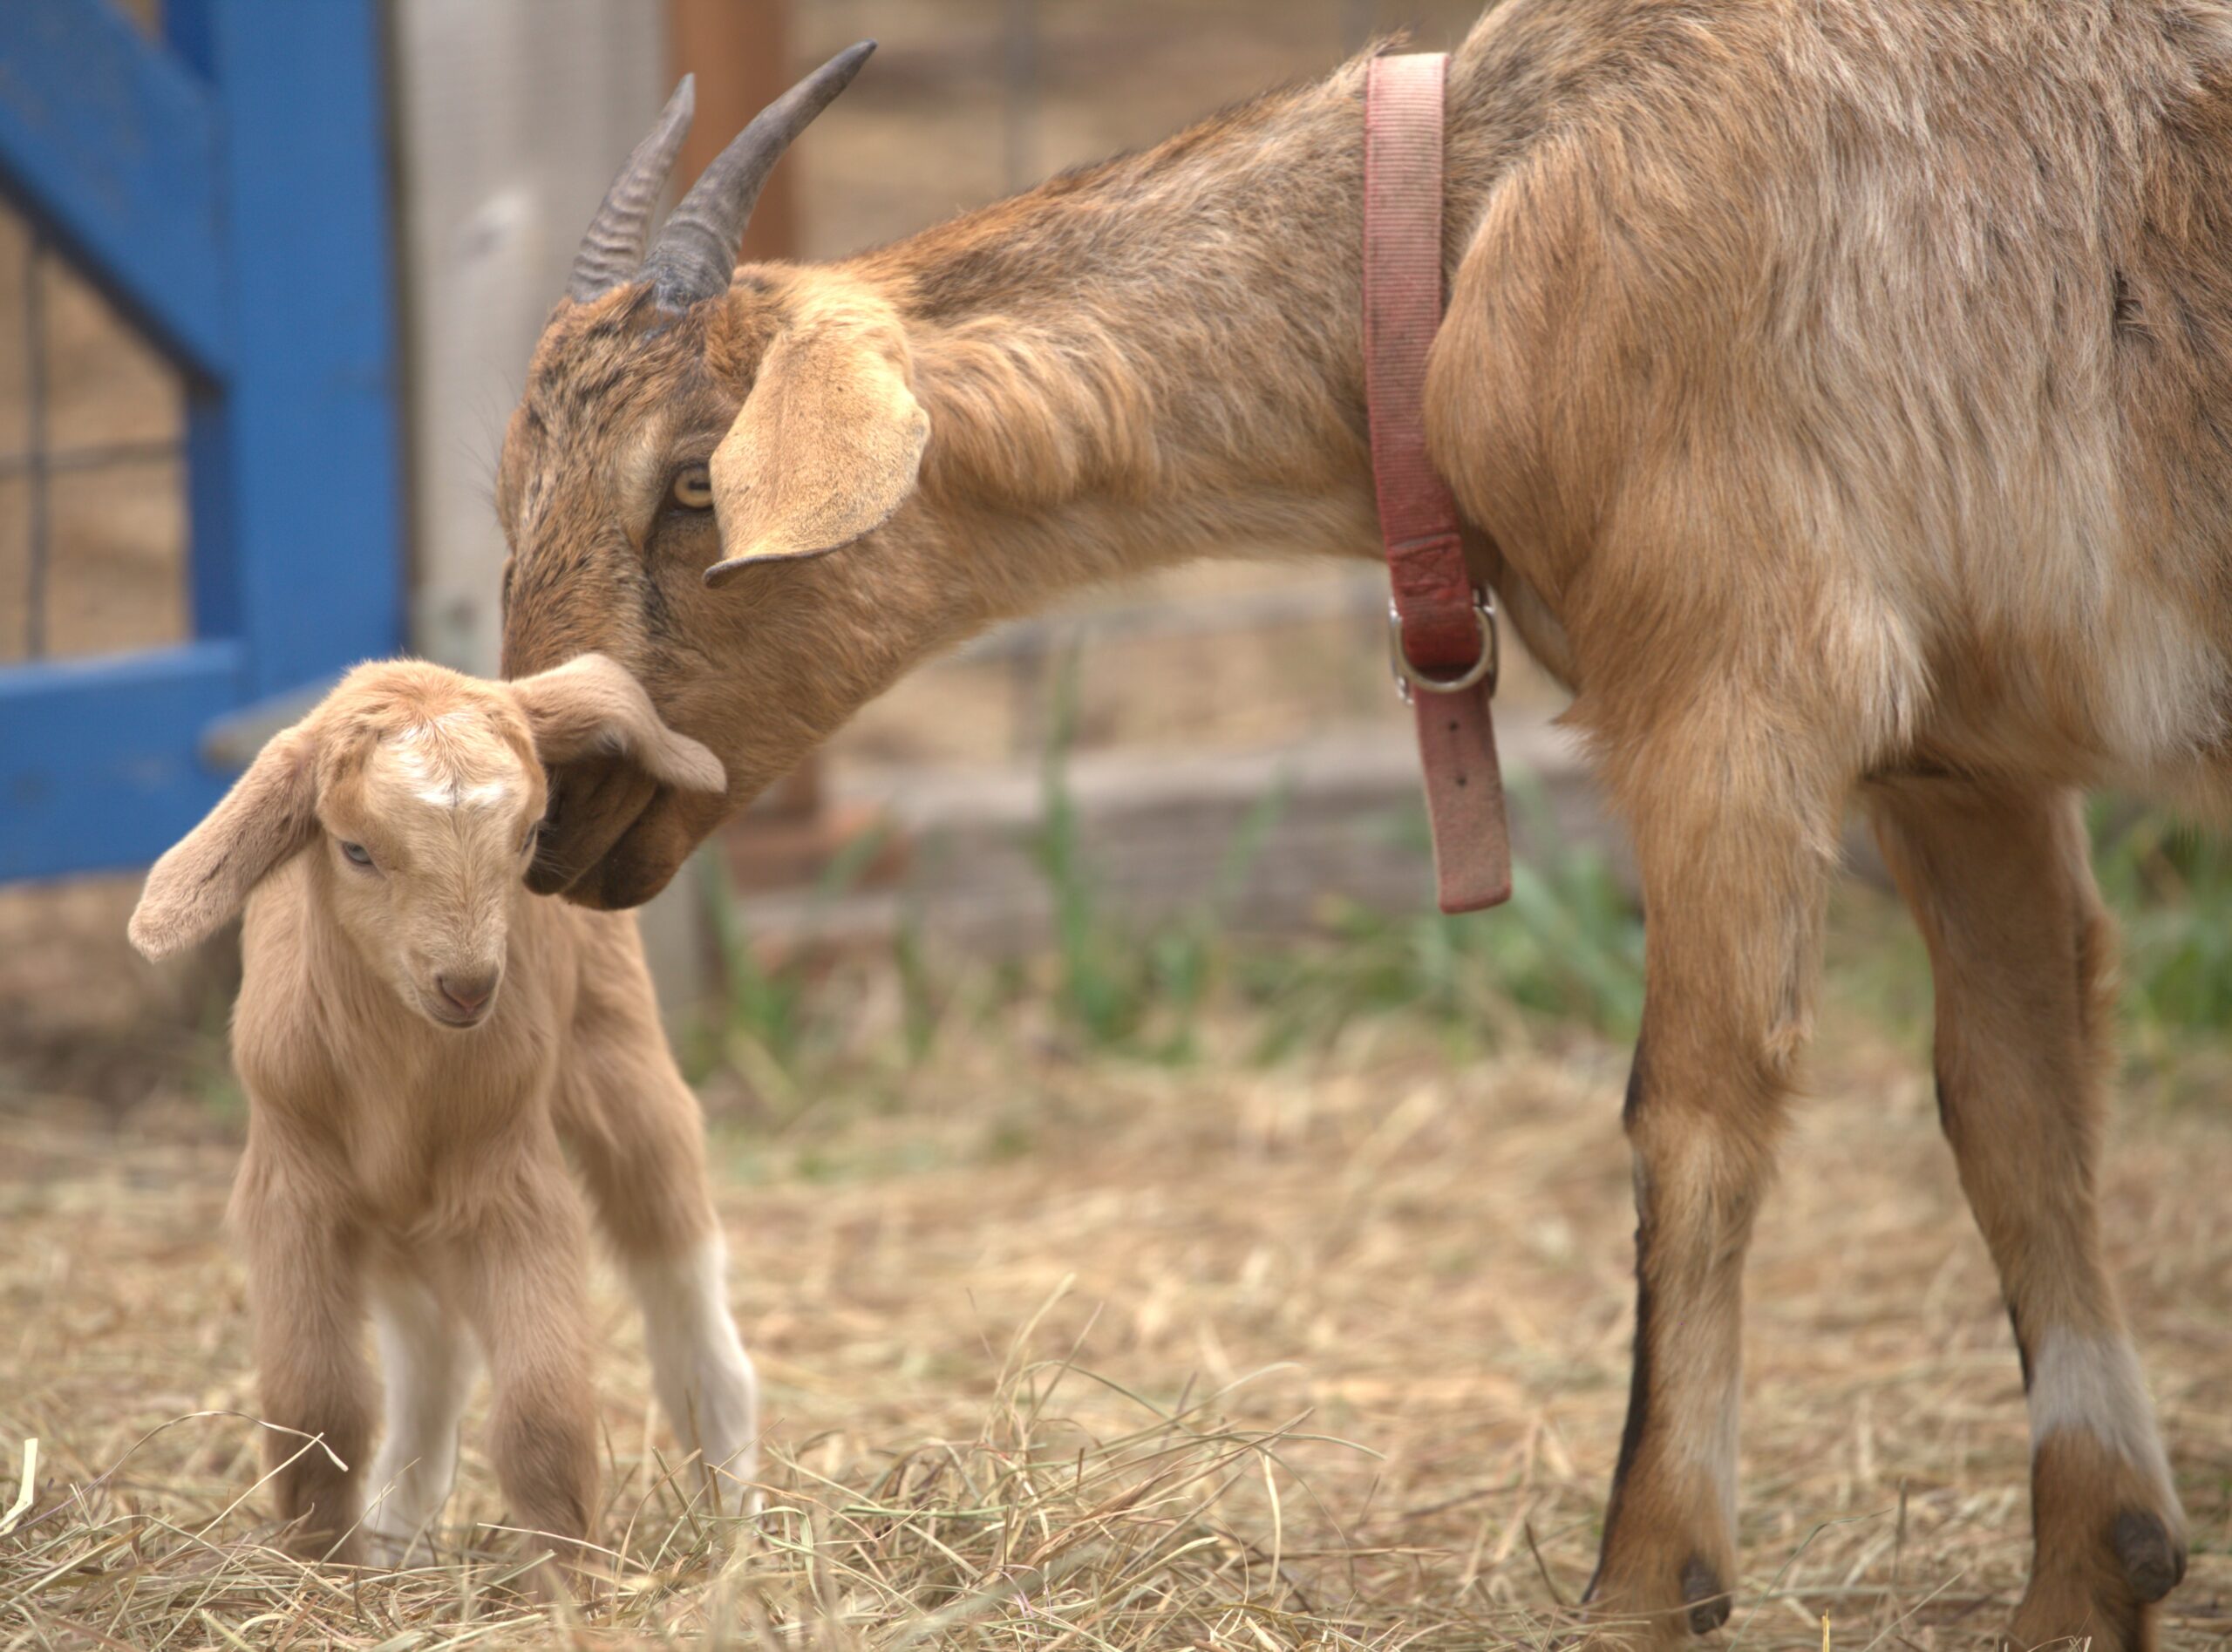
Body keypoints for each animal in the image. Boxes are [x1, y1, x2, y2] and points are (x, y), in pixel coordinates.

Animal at [127, 656, 757, 1588]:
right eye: (354, 849)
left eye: (530, 835)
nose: (467, 986)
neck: (402, 1068)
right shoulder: (294, 1188)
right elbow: (316, 1406)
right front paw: (326, 1568)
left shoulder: (512, 1181)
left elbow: (541, 1410)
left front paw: (570, 1584)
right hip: (394, 1212)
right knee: (432, 1354)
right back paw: (397, 1537)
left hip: (620, 1054)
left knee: (678, 1272)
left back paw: (737, 1514)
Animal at [493, 4, 2215, 1645]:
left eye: (694, 480)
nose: (551, 808)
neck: (1464, 230)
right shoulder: (1958, 758)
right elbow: (2015, 1094)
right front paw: (2089, 1581)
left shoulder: (1738, 684)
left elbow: (1695, 1107)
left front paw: (1642, 1588)